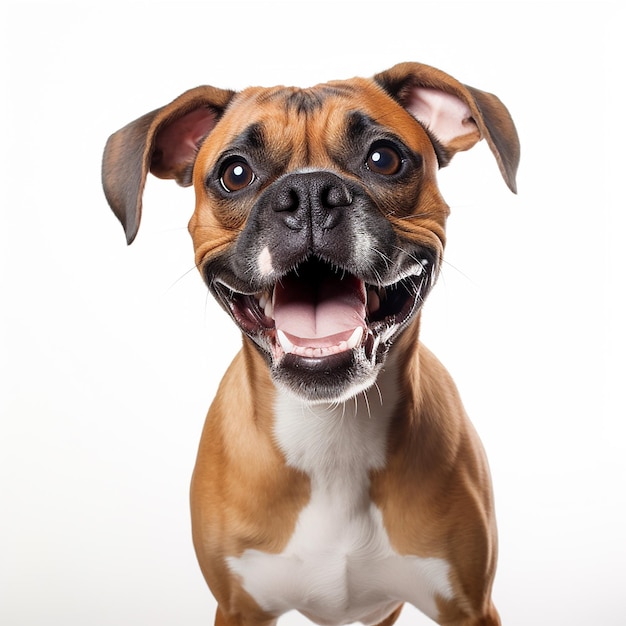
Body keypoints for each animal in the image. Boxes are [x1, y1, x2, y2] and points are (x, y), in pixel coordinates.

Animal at [102, 59, 520, 624]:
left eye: (384, 159)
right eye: (235, 173)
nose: (310, 194)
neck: (330, 430)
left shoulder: (470, 607)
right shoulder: (238, 606)